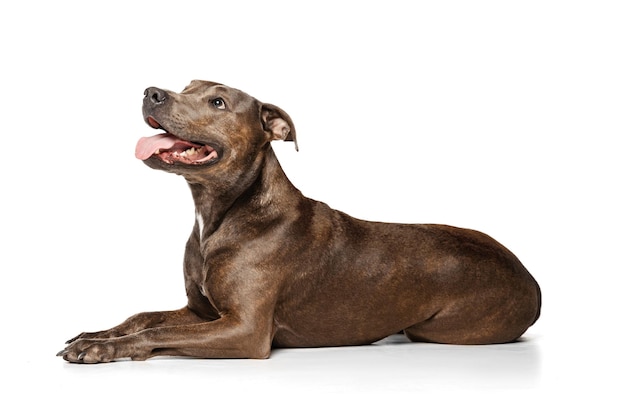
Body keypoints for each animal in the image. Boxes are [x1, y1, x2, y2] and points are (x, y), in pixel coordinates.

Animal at [56, 81, 540, 362]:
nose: (151, 92)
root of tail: (532, 280)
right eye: (186, 85)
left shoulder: (244, 331)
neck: (219, 213)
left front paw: (102, 348)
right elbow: (143, 316)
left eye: (218, 101)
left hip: (434, 327)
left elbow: (160, 329)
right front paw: (96, 333)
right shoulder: (200, 311)